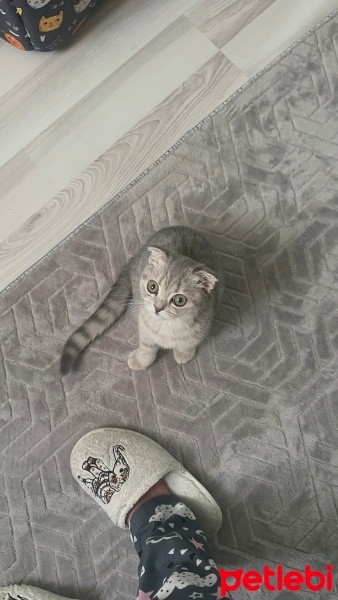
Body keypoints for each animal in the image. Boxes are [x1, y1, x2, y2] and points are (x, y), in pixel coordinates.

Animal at [59, 226, 220, 376]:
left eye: (179, 300)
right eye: (152, 287)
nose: (157, 308)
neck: (167, 326)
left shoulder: (205, 321)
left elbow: (188, 342)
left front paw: (184, 352)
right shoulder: (144, 324)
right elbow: (146, 347)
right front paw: (141, 360)